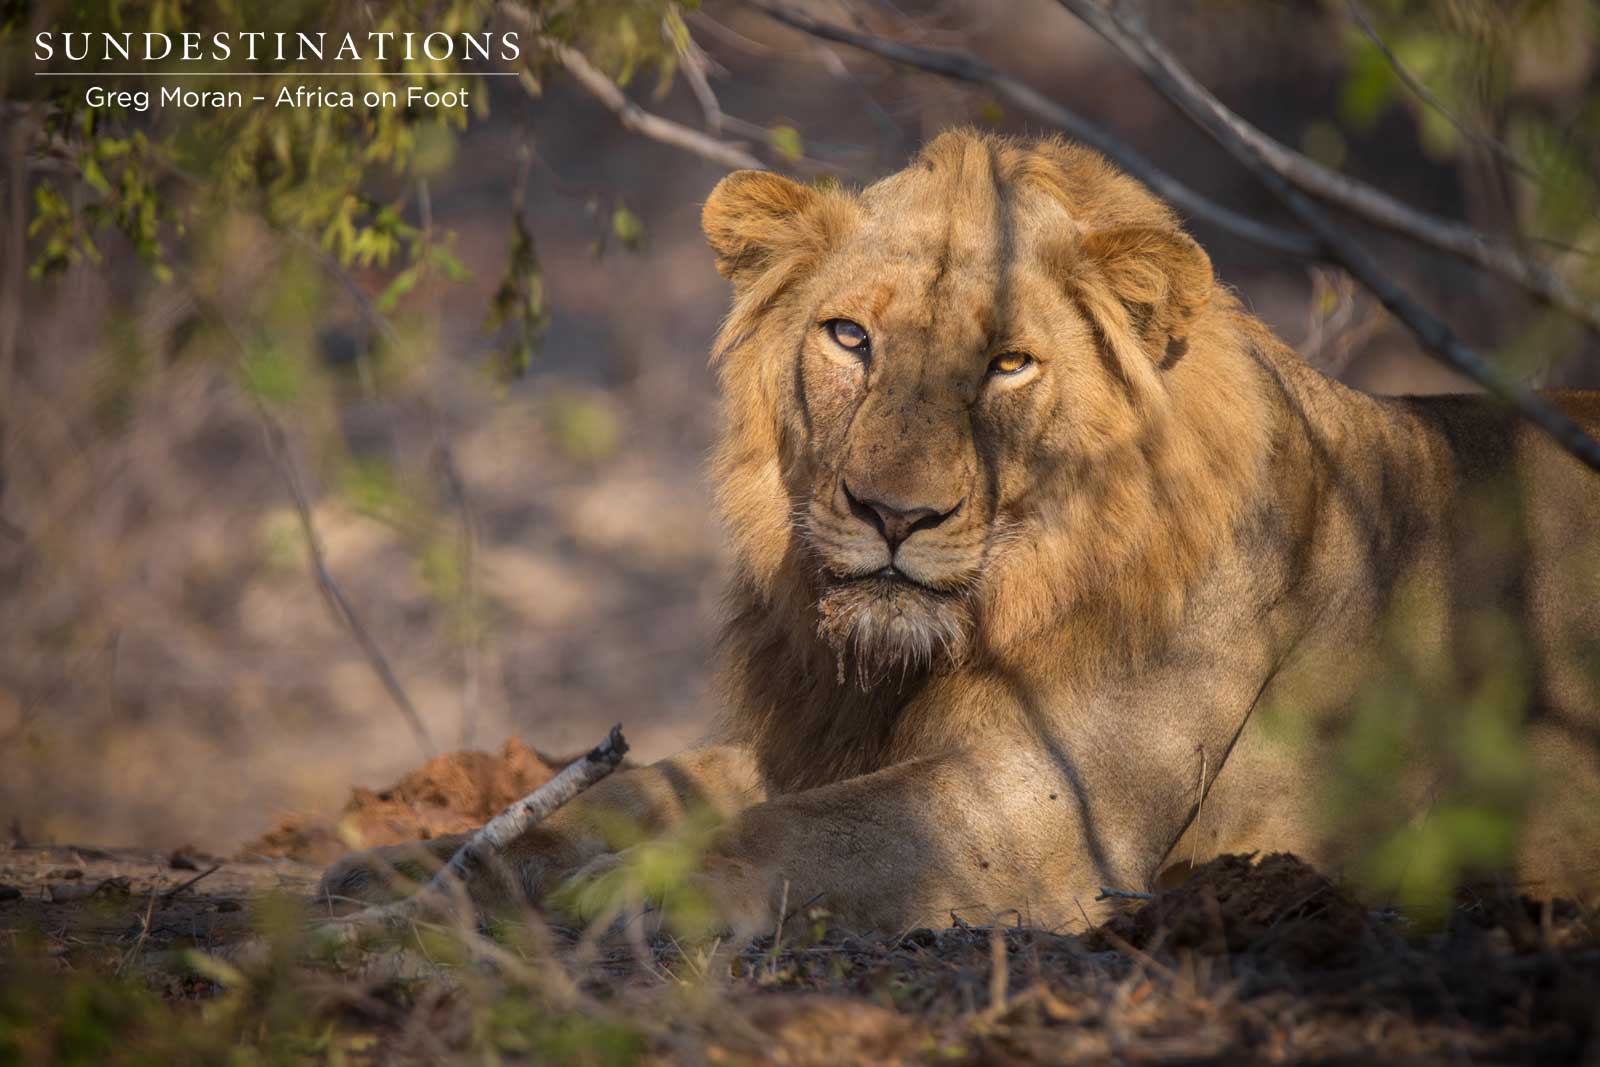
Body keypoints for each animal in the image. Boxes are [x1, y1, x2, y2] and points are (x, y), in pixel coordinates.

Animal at [322, 129, 1600, 933]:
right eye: (848, 337)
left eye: (1007, 364)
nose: (895, 514)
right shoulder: (811, 737)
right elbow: (646, 788)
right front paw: (400, 863)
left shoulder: (1047, 819)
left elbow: (792, 832)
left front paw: (633, 893)